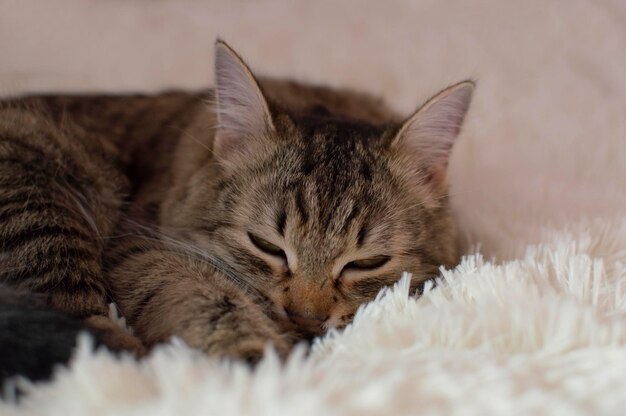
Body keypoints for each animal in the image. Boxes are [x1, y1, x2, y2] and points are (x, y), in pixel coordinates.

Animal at [0, 39, 470, 376]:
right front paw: (261, 363)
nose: (305, 318)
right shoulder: (143, 247)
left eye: (367, 262)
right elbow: (209, 299)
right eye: (267, 246)